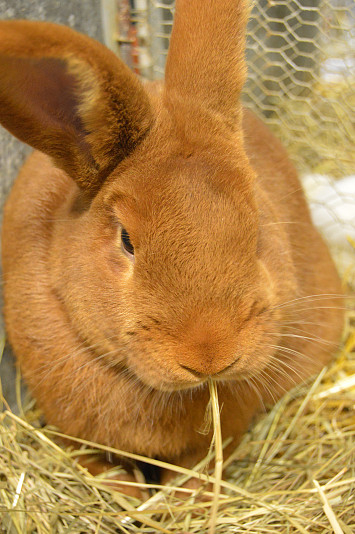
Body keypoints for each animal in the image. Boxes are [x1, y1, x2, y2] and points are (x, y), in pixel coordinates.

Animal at [0, 0, 344, 498]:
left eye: (257, 221)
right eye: (127, 240)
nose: (211, 354)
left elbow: (198, 467)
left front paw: (185, 500)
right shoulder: (70, 429)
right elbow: (98, 467)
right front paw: (131, 497)